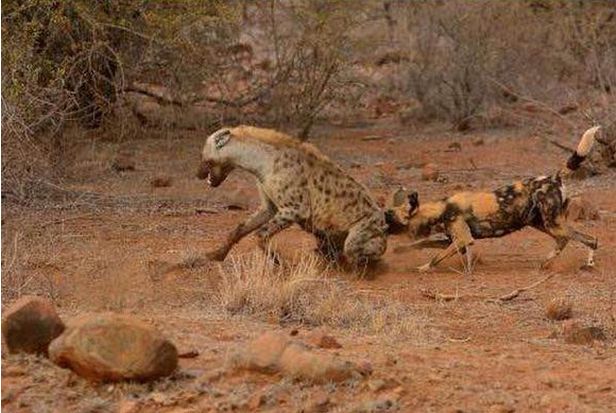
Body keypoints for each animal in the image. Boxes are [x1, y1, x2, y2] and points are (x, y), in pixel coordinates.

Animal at [196, 125, 384, 268]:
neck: (261, 162)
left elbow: (261, 234)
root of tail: (384, 224)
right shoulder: (269, 206)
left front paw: (280, 262)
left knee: (356, 253)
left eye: (202, 155)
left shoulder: (296, 209)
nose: (197, 174)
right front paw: (215, 255)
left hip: (361, 234)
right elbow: (240, 229)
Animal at [384, 127, 600, 272]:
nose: (383, 224)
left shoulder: (462, 240)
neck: (442, 209)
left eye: (390, 216)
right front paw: (401, 250)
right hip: (541, 223)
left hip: (551, 224)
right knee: (583, 239)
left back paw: (571, 264)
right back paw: (566, 263)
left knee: (580, 238)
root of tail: (553, 177)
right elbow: (421, 244)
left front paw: (423, 268)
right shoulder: (451, 241)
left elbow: (435, 258)